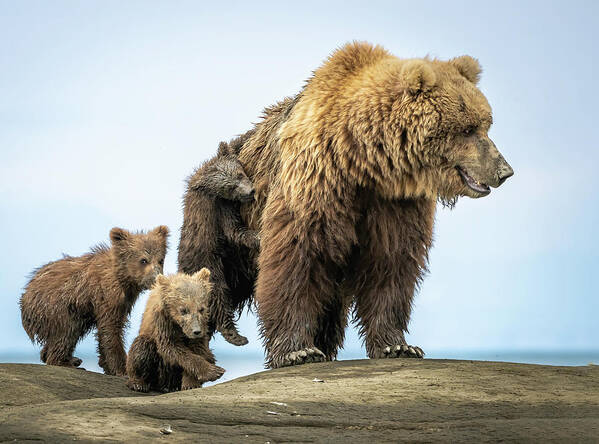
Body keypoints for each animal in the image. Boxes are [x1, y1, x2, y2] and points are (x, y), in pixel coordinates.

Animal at [19, 225, 169, 374]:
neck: (123, 277)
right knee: (67, 331)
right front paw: (122, 368)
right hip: (57, 307)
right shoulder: (107, 294)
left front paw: (107, 365)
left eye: (161, 260)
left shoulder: (125, 299)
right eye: (143, 260)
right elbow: (110, 327)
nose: (156, 277)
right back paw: (63, 361)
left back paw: (63, 357)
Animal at [179, 132, 262, 346]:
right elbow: (235, 230)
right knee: (219, 299)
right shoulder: (219, 208)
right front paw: (259, 236)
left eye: (240, 174)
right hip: (209, 266)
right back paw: (236, 336)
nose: (250, 192)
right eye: (231, 187)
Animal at [236, 41, 516, 368]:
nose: (505, 171)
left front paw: (398, 345)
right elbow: (297, 258)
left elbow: (391, 263)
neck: (363, 160)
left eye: (486, 123)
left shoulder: (394, 203)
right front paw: (298, 351)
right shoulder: (316, 184)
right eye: (468, 128)